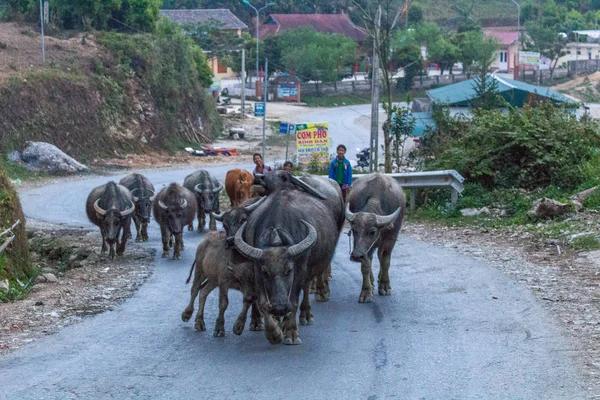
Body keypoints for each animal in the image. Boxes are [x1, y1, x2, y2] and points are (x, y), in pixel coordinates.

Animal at [234, 189, 340, 346]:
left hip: (309, 271)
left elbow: (294, 301)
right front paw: (273, 333)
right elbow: (262, 302)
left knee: (306, 288)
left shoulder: (299, 271)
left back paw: (305, 315)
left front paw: (291, 333)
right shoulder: (257, 269)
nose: (279, 307)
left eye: (289, 270)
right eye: (265, 273)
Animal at [344, 173, 406, 304]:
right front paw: (366, 291)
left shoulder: (391, 239)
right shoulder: (364, 247)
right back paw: (372, 281)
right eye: (354, 231)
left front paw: (385, 285)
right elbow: (366, 266)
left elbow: (386, 261)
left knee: (381, 257)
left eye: (372, 232)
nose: (356, 256)